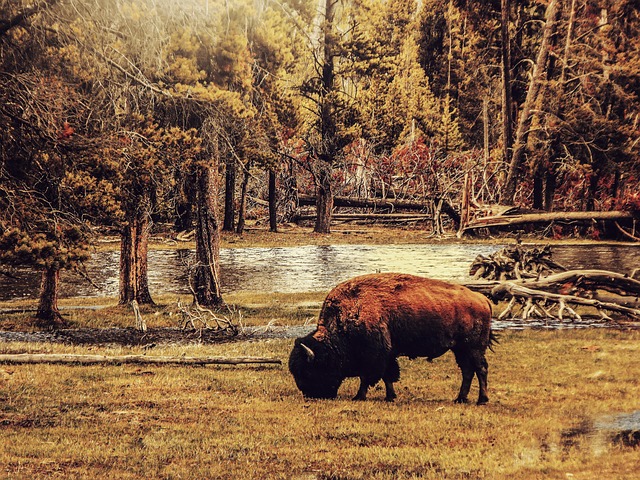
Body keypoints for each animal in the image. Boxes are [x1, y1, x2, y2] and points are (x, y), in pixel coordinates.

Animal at [289, 273, 495, 404]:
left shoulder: (374, 356)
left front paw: (359, 396)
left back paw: (482, 400)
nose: (311, 395)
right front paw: (390, 397)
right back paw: (460, 399)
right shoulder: (387, 355)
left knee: (480, 369)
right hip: (460, 349)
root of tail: (482, 299)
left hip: (474, 348)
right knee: (468, 371)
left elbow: (368, 377)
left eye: (308, 371)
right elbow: (388, 376)